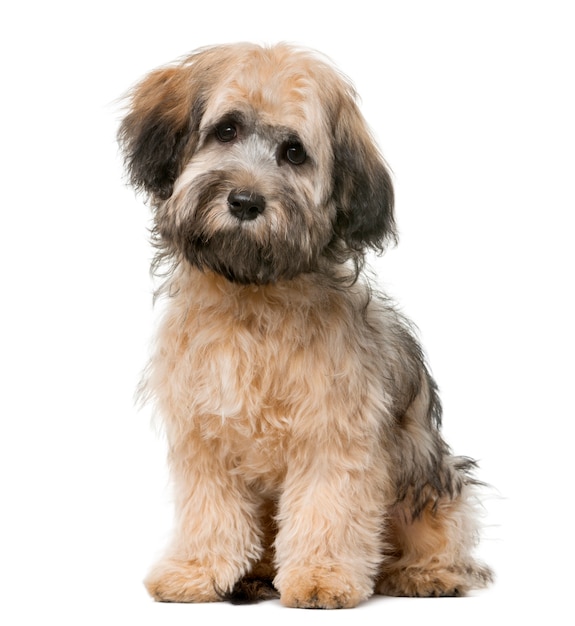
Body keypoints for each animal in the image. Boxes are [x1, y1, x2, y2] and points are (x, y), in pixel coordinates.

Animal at [118, 42, 496, 604]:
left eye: (294, 152)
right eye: (226, 130)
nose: (245, 201)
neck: (252, 296)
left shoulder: (333, 431)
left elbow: (327, 508)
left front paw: (321, 577)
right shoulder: (204, 434)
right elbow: (210, 510)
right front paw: (197, 570)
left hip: (430, 477)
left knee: (442, 533)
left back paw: (426, 573)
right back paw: (253, 576)